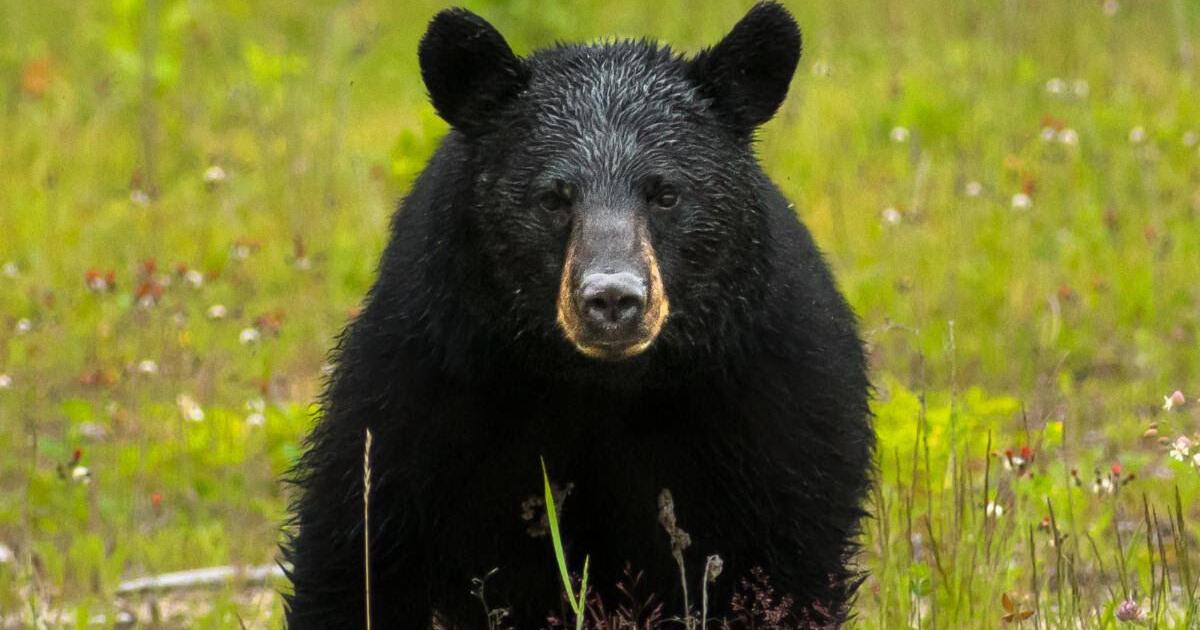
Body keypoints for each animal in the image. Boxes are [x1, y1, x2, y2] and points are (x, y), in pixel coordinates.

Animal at [283, 3, 874, 629]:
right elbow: (365, 552)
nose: (612, 299)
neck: (599, 384)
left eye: (665, 193)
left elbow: (782, 556)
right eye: (553, 198)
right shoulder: (425, 388)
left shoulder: (769, 400)